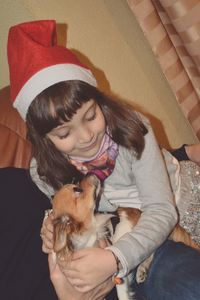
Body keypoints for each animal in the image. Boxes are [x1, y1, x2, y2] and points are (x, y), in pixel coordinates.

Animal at [52, 173, 200, 300]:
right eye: (78, 189)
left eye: (75, 186)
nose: (89, 173)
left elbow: (122, 293)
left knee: (152, 247)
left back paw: (142, 268)